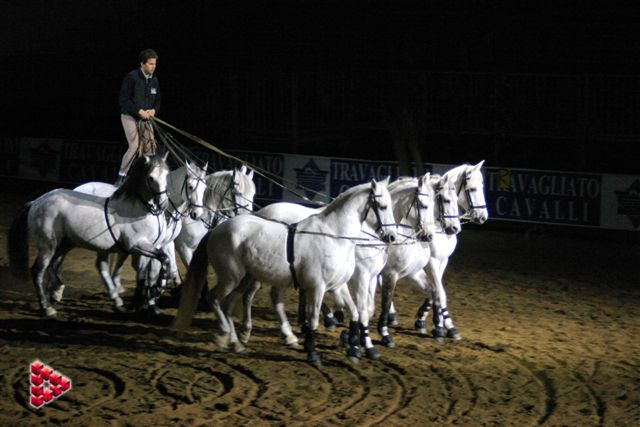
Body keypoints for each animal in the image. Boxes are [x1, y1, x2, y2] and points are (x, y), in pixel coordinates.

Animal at [8, 154, 170, 317]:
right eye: (151, 177)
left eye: (167, 175)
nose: (163, 204)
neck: (139, 210)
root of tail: (36, 202)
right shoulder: (137, 245)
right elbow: (164, 259)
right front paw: (156, 291)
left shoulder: (146, 248)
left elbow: (145, 275)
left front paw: (147, 303)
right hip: (48, 246)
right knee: (38, 271)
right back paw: (47, 307)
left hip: (65, 243)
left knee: (54, 264)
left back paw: (57, 292)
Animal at [72, 161, 208, 314]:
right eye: (190, 186)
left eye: (205, 188)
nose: (197, 214)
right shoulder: (156, 244)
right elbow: (153, 269)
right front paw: (150, 296)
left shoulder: (167, 243)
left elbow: (162, 268)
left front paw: (151, 295)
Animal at [172, 178, 398, 364]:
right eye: (383, 206)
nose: (392, 237)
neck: (334, 235)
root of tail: (216, 230)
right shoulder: (318, 287)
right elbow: (315, 318)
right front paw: (313, 352)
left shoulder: (338, 286)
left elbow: (356, 313)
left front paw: (355, 349)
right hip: (231, 277)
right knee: (215, 298)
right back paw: (228, 335)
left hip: (246, 278)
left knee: (230, 303)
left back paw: (238, 343)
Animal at [242, 173, 437, 360]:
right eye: (424, 205)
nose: (429, 235)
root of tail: (262, 211)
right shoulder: (371, 276)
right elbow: (368, 308)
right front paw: (370, 341)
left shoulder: (373, 277)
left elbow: (368, 309)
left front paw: (353, 339)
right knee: (252, 295)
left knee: (277, 297)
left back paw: (294, 332)